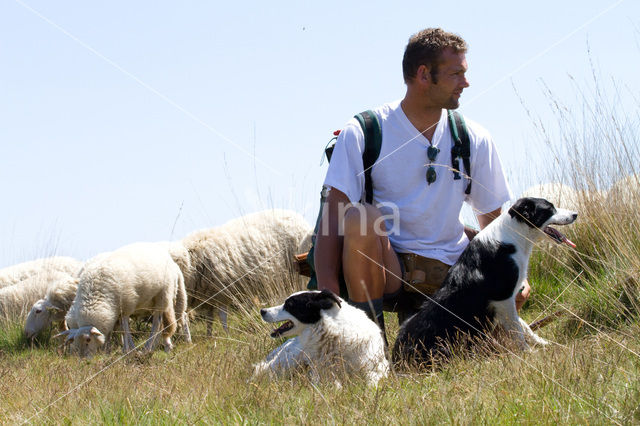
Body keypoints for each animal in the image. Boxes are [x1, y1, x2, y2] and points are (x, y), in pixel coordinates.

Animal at [55, 243, 186, 356]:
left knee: (156, 323)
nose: (83, 358)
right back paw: (157, 347)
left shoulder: (126, 305)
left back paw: (148, 347)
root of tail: (171, 261)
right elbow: (112, 331)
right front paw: (107, 351)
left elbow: (124, 330)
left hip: (162, 296)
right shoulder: (113, 311)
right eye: (74, 341)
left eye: (88, 339)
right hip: (151, 301)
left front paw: (129, 350)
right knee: (161, 325)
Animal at [181, 208, 312, 334]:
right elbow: (210, 319)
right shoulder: (209, 298)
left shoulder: (222, 291)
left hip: (296, 274)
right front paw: (209, 336)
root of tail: (297, 217)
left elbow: (222, 317)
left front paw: (227, 335)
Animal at [392, 198, 576, 368]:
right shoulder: (503, 298)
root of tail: (395, 359)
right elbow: (516, 329)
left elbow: (524, 326)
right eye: (550, 208)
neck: (514, 234)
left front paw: (544, 343)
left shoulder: (509, 298)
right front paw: (528, 353)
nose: (575, 214)